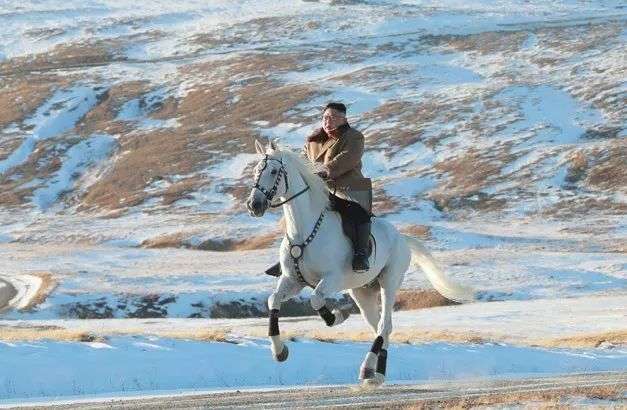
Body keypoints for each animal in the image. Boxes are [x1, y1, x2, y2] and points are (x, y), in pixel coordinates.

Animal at [246, 139, 474, 386]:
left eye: (273, 171)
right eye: (256, 171)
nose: (254, 205)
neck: (304, 232)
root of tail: (401, 237)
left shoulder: (332, 279)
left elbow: (316, 299)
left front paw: (337, 316)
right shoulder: (292, 280)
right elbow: (273, 300)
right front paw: (279, 351)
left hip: (389, 283)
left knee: (384, 325)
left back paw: (367, 369)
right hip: (362, 292)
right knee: (380, 328)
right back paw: (376, 373)